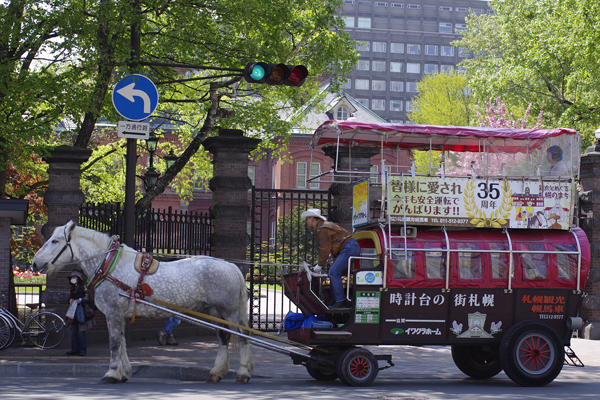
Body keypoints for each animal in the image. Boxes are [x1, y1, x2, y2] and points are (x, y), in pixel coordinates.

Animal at [30, 220, 253, 382]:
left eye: (55, 241)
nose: (34, 263)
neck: (110, 266)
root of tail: (231, 266)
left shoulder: (113, 312)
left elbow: (114, 343)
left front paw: (112, 373)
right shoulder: (119, 314)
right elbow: (121, 342)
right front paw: (124, 373)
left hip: (229, 311)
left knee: (242, 336)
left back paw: (243, 373)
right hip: (215, 312)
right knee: (224, 337)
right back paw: (216, 372)